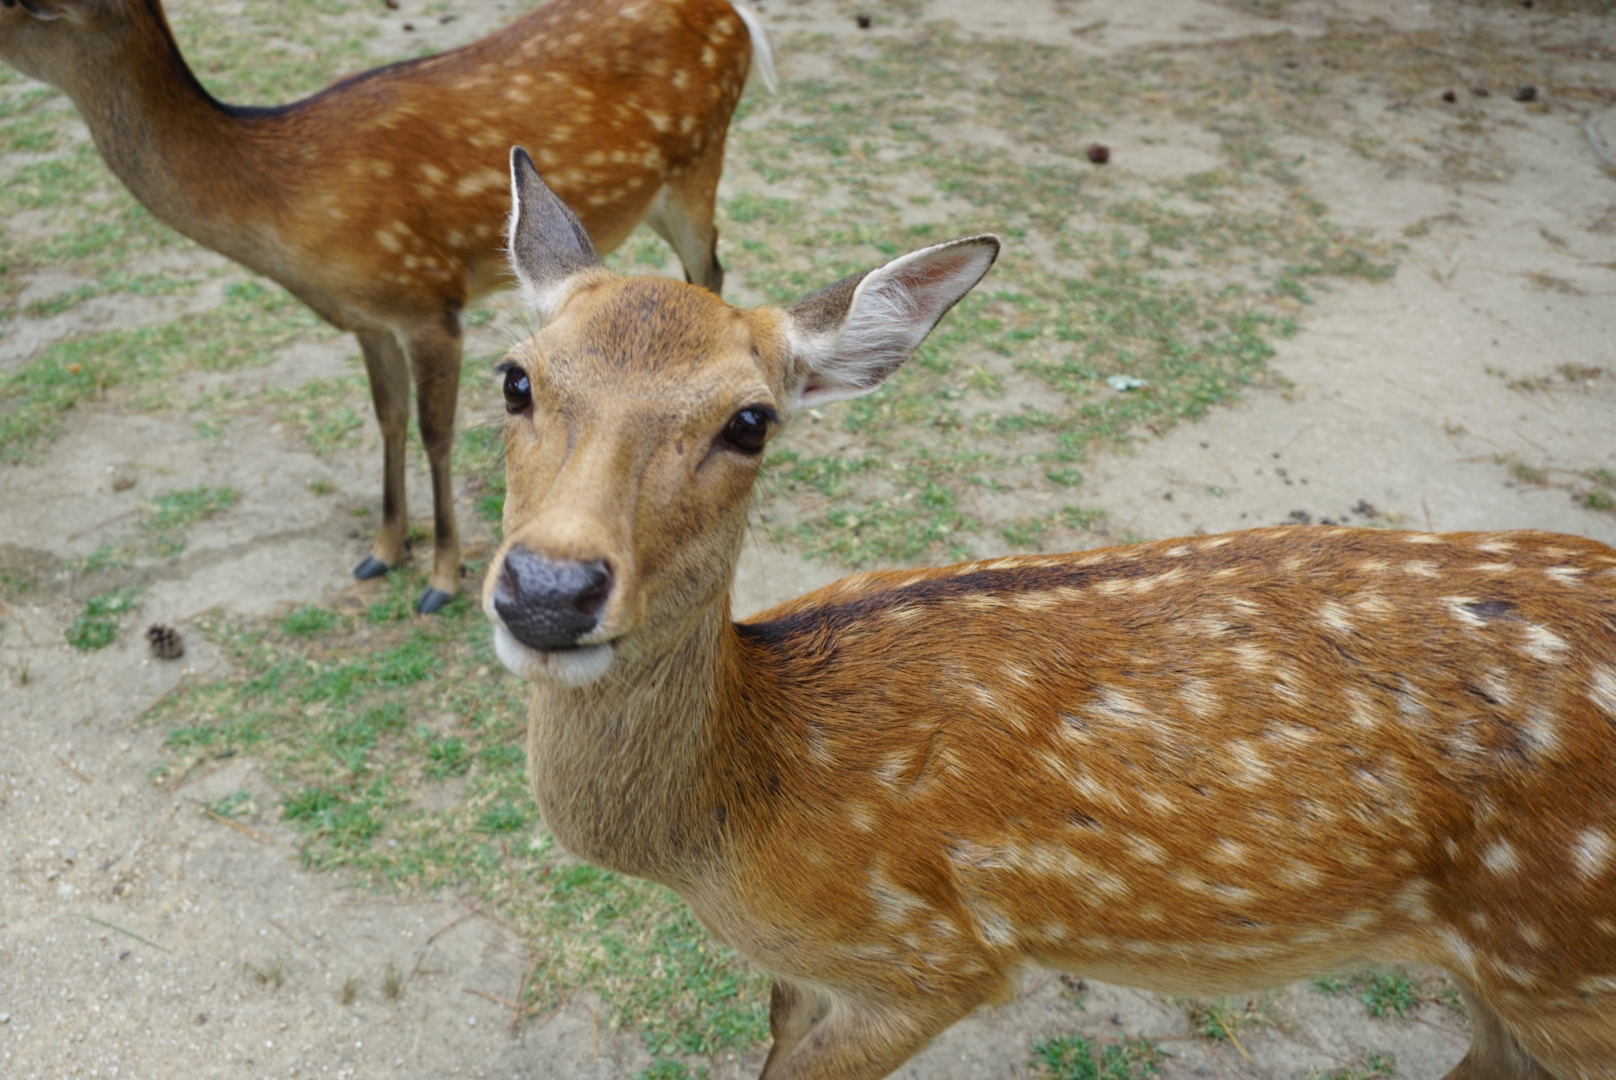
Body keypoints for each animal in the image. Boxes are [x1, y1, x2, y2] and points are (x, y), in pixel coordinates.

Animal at [0, 0, 775, 611]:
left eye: (33, 4)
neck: (287, 206)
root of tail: (737, 15)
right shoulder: (365, 316)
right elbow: (388, 417)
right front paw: (383, 547)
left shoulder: (429, 300)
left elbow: (436, 430)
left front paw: (441, 576)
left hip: (698, 166)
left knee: (711, 267)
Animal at [481, 149, 1616, 1080]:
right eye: (515, 378)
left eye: (750, 420)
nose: (548, 587)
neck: (734, 825)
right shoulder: (805, 972)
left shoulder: (935, 963)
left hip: (1564, 974)